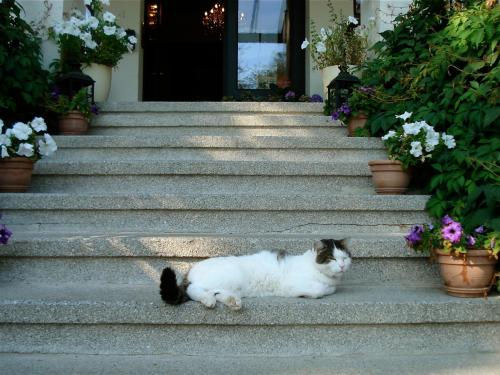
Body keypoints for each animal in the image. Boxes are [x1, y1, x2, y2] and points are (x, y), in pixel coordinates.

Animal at [160, 241, 352, 312]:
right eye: (333, 258)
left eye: (345, 258)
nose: (342, 266)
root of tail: (192, 269)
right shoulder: (290, 285)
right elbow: (319, 290)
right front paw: (312, 293)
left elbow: (328, 289)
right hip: (230, 275)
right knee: (194, 289)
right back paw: (208, 300)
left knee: (217, 292)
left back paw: (233, 302)